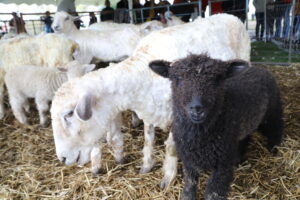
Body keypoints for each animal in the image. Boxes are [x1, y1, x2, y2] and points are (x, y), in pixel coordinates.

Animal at [50, 13, 250, 188]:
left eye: (69, 114)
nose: (62, 159)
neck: (143, 72)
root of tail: (231, 16)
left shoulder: (177, 112)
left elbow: (170, 147)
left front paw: (168, 178)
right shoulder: (149, 109)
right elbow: (148, 139)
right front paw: (146, 166)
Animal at [149, 54, 284, 200]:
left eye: (217, 79)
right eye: (177, 79)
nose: (197, 108)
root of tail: (259, 67)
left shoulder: (222, 165)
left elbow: (213, 193)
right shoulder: (189, 160)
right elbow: (189, 187)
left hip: (272, 109)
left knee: (276, 127)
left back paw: (274, 149)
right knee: (245, 137)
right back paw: (239, 159)